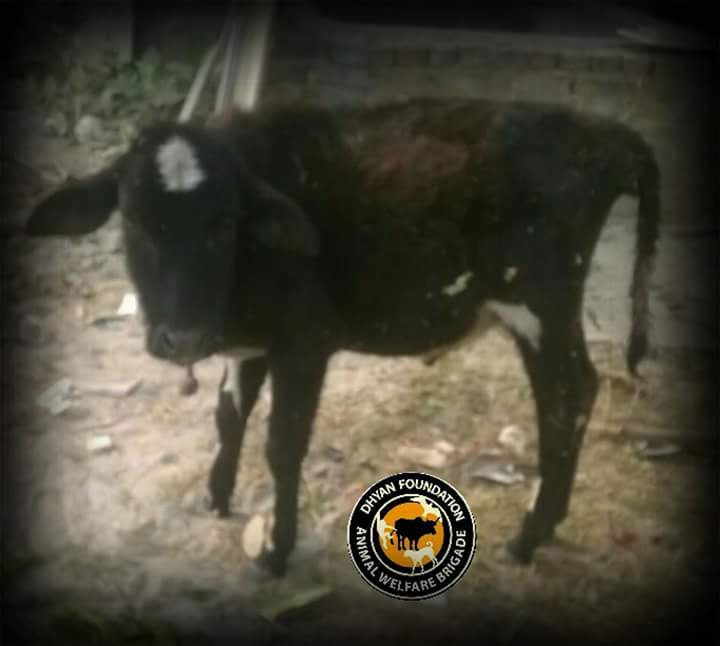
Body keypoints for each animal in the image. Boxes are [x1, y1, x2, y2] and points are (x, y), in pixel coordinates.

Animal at [24, 96, 659, 577]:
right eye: (132, 220)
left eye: (224, 222)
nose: (182, 338)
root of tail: (599, 129)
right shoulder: (252, 345)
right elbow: (229, 417)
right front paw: (216, 497)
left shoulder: (304, 343)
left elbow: (282, 445)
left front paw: (275, 551)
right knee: (576, 393)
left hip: (540, 305)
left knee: (568, 399)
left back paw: (530, 535)